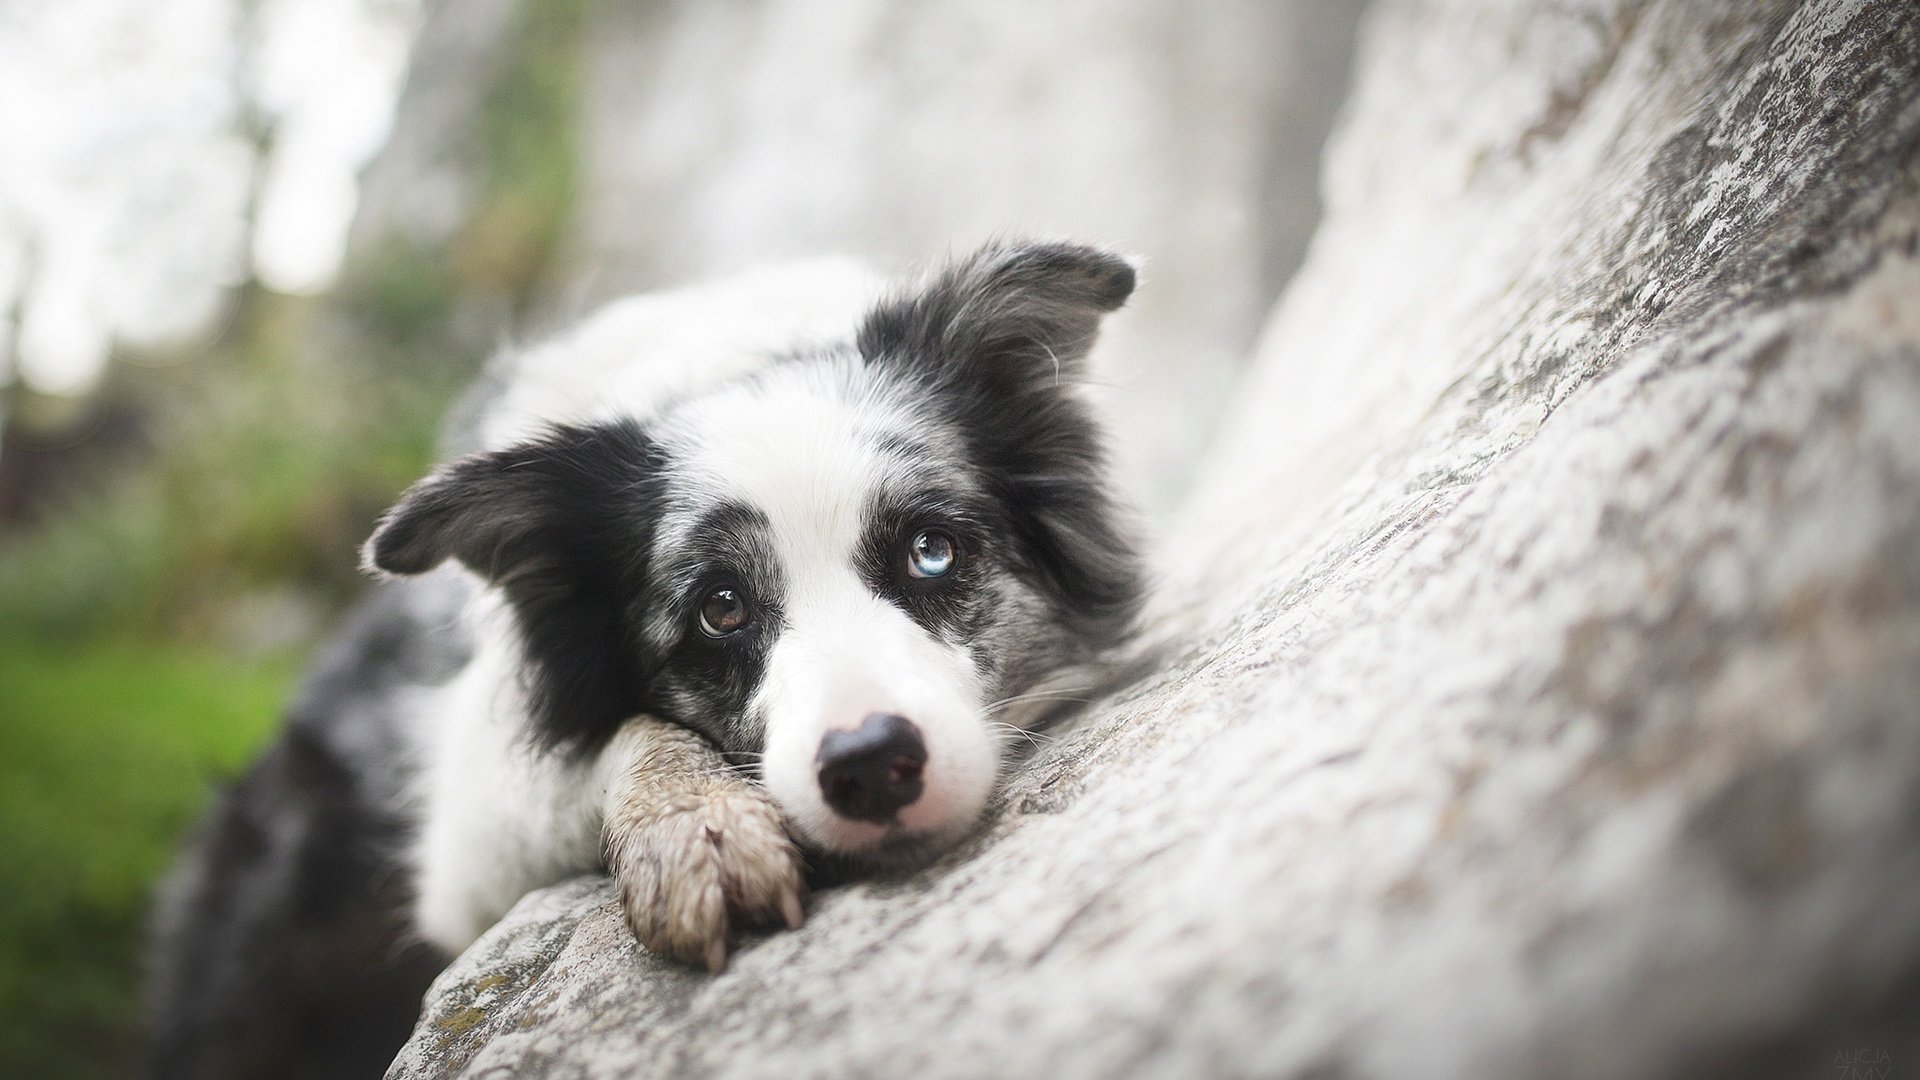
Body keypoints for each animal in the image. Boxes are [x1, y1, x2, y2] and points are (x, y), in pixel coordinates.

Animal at [153, 239, 1136, 1068]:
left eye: (931, 552)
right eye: (721, 609)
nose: (870, 766)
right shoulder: (466, 830)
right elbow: (628, 732)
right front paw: (697, 828)